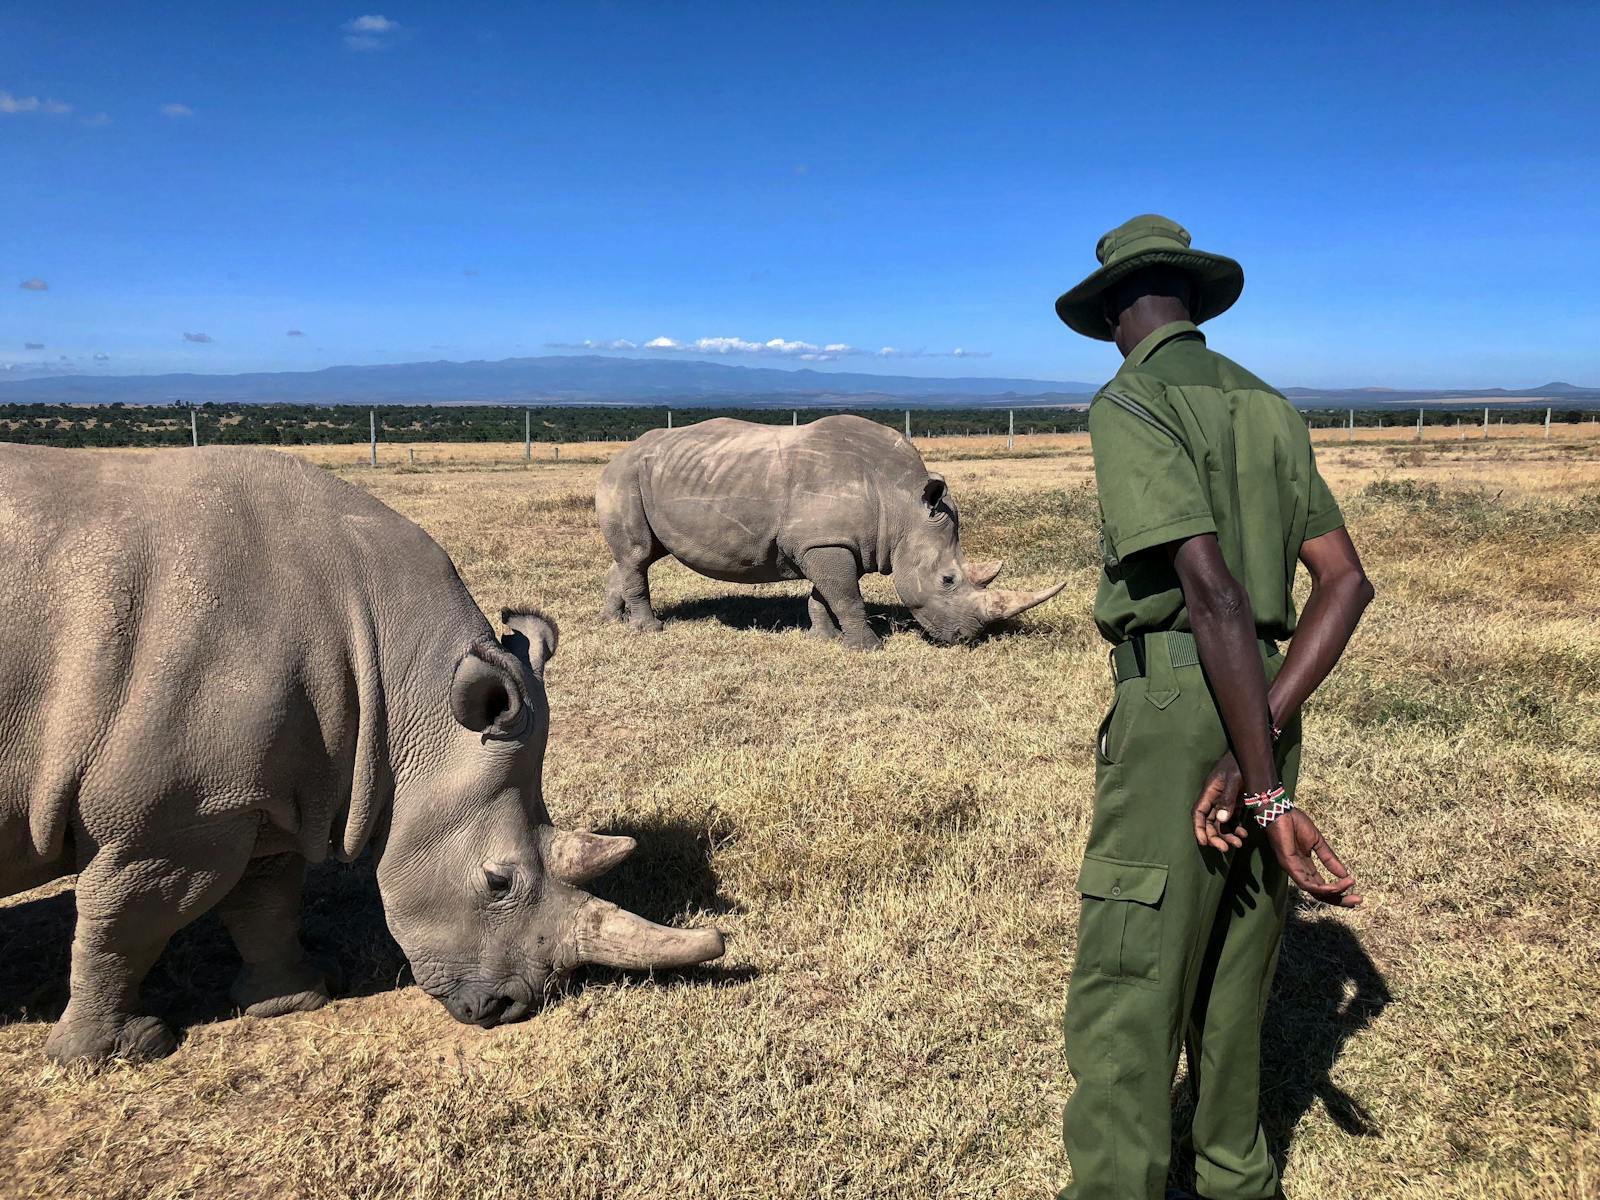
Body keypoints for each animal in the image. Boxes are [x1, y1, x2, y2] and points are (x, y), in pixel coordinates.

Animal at [0, 448, 726, 1062]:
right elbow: (125, 922)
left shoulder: (253, 794)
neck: (402, 685)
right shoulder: (169, 822)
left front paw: (296, 999)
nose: (507, 1008)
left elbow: (265, 900)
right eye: (498, 883)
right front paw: (115, 1054)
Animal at [598, 419, 1062, 652]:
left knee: (637, 556)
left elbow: (826, 594)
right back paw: (650, 631)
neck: (902, 503)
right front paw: (868, 649)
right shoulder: (826, 542)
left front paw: (826, 639)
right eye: (947, 580)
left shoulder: (827, 541)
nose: (966, 639)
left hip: (647, 478)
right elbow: (847, 596)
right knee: (638, 555)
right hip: (625, 477)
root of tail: (616, 455)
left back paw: (610, 622)